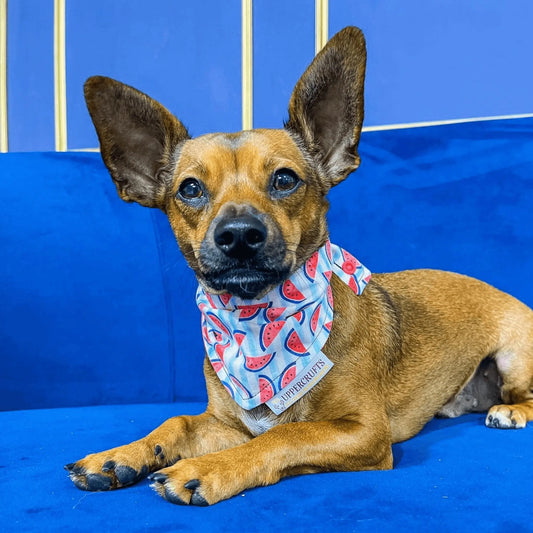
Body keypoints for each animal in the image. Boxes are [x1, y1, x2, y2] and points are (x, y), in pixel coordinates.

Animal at [65, 27, 532, 504]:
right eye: (189, 189)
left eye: (285, 179)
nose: (238, 234)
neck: (255, 321)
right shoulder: (227, 425)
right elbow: (176, 422)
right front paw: (119, 456)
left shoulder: (364, 433)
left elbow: (284, 435)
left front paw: (205, 469)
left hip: (514, 357)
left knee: (525, 396)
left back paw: (509, 412)